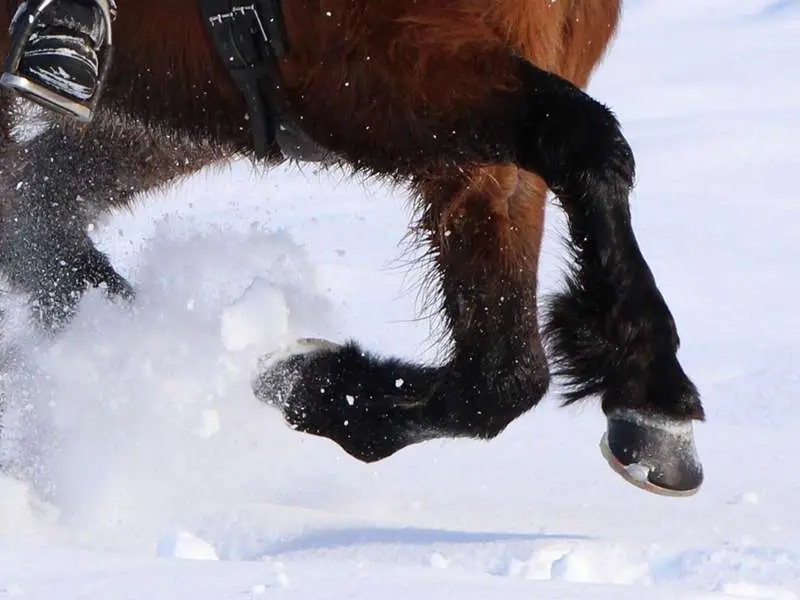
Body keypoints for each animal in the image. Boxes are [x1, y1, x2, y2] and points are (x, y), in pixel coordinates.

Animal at [0, 0, 705, 496]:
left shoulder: (486, 156)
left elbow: (502, 376)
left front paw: (311, 381)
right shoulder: (369, 71)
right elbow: (589, 143)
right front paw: (655, 390)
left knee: (34, 206)